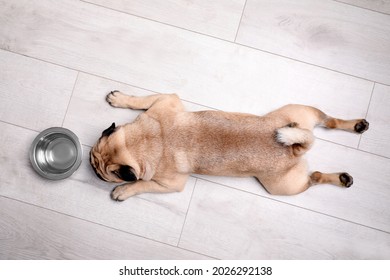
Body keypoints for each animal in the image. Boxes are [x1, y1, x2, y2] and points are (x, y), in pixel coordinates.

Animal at [90, 92, 368, 201]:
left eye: (102, 173)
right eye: (94, 159)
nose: (92, 167)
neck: (151, 138)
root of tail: (295, 149)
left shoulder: (169, 185)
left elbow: (141, 185)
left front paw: (124, 191)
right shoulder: (165, 101)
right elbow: (141, 100)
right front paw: (120, 98)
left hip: (283, 187)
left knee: (316, 177)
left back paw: (340, 177)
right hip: (300, 112)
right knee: (330, 122)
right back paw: (356, 128)